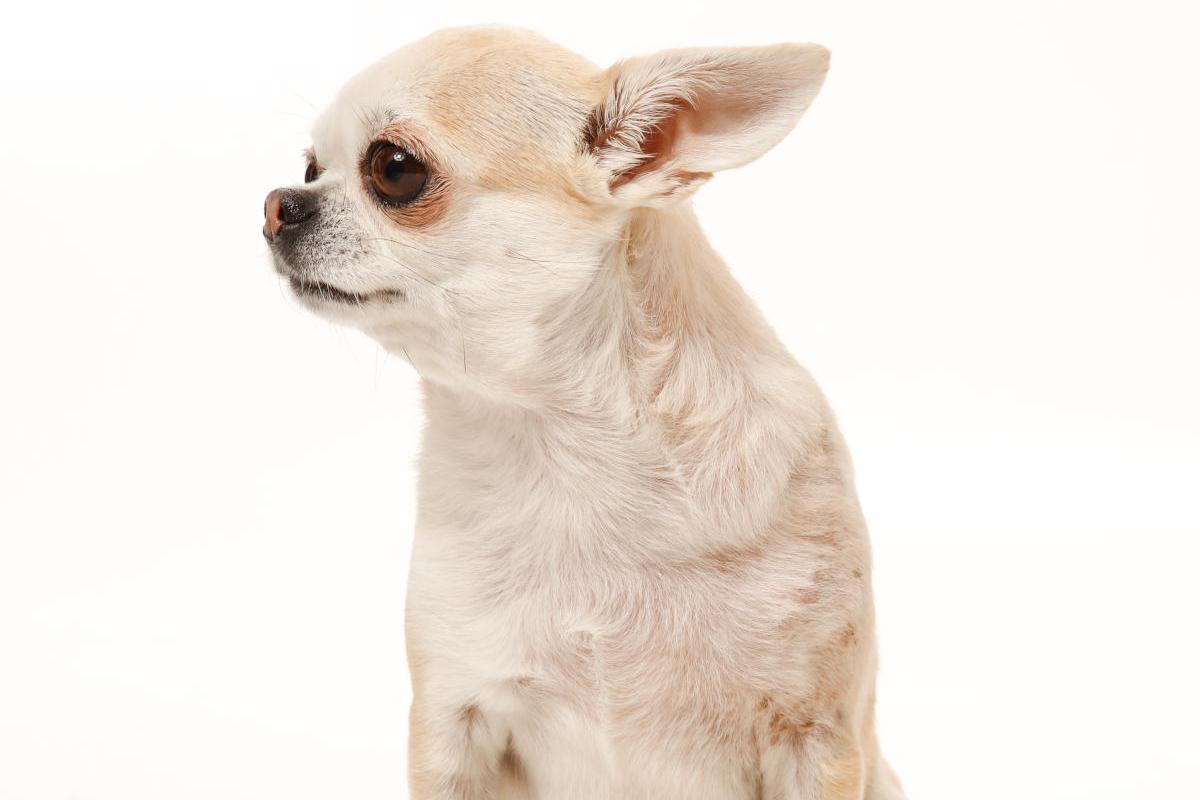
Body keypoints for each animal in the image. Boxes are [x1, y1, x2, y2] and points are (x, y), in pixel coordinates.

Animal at [260, 25, 902, 800]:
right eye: (310, 165)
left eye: (393, 169)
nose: (276, 202)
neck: (561, 442)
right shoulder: (453, 722)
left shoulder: (814, 735)